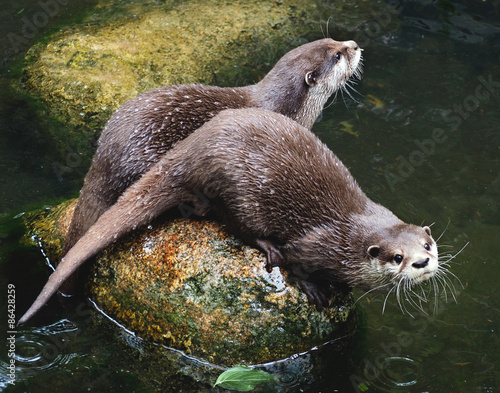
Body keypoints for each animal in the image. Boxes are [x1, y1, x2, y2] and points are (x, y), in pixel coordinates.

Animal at [21, 108, 440, 324]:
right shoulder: (316, 244)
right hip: (235, 188)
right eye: (397, 257)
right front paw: (319, 289)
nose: (422, 263)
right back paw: (266, 247)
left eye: (428, 244)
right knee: (234, 223)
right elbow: (298, 262)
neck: (352, 233)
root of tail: (190, 152)